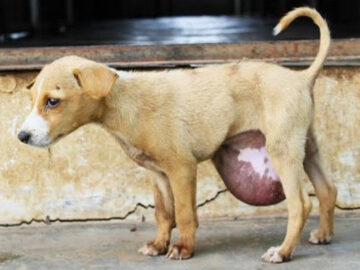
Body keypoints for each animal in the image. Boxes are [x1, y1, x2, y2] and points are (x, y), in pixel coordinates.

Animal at [17, 7, 334, 264]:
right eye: (32, 99)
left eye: (52, 101)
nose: (22, 136)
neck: (124, 101)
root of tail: (302, 76)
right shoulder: (157, 173)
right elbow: (163, 213)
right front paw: (158, 245)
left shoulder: (182, 168)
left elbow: (183, 213)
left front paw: (183, 248)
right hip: (306, 147)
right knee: (327, 189)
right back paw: (324, 235)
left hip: (283, 150)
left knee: (301, 204)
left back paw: (282, 252)